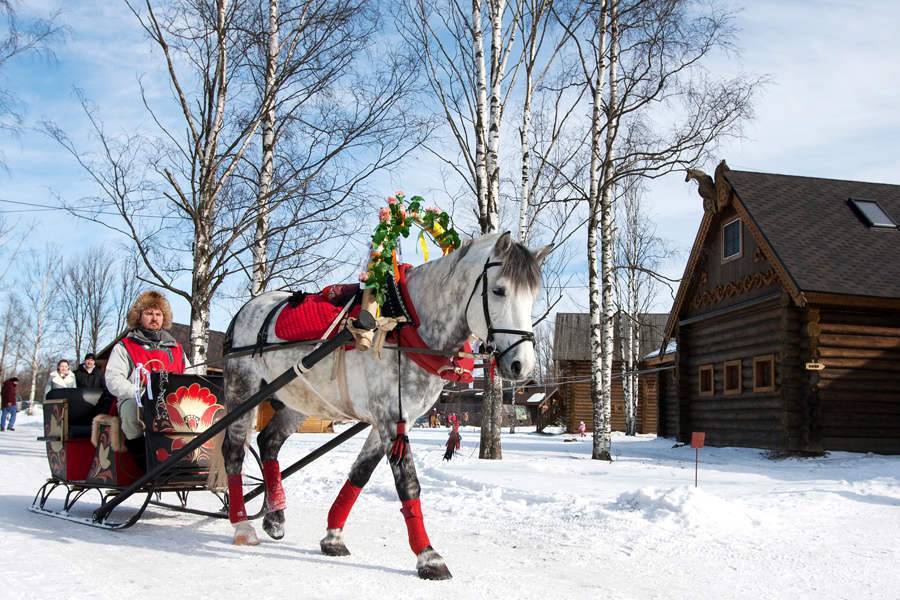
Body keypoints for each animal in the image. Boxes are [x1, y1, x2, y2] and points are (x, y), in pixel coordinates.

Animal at [211, 232, 548, 580]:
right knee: (234, 451)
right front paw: (428, 556)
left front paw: (333, 536)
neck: (405, 325)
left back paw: (275, 516)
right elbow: (408, 484)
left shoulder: (392, 420)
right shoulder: (389, 418)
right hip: (243, 389)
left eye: (532, 296)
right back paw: (242, 524)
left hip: (300, 399)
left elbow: (360, 474)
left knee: (269, 442)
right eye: (499, 290)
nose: (521, 365)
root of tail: (248, 308)